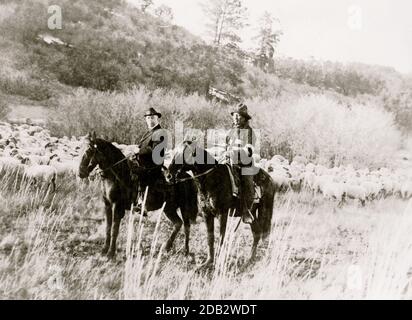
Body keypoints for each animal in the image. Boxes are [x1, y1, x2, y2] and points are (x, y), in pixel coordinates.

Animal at [79, 132, 200, 260]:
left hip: (184, 207)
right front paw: (104, 250)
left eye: (88, 150)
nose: (81, 173)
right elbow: (108, 227)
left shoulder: (117, 206)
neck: (117, 175)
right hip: (168, 208)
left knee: (186, 226)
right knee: (178, 223)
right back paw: (167, 247)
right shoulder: (107, 204)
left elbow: (114, 230)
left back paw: (186, 251)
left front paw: (111, 253)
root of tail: (188, 177)